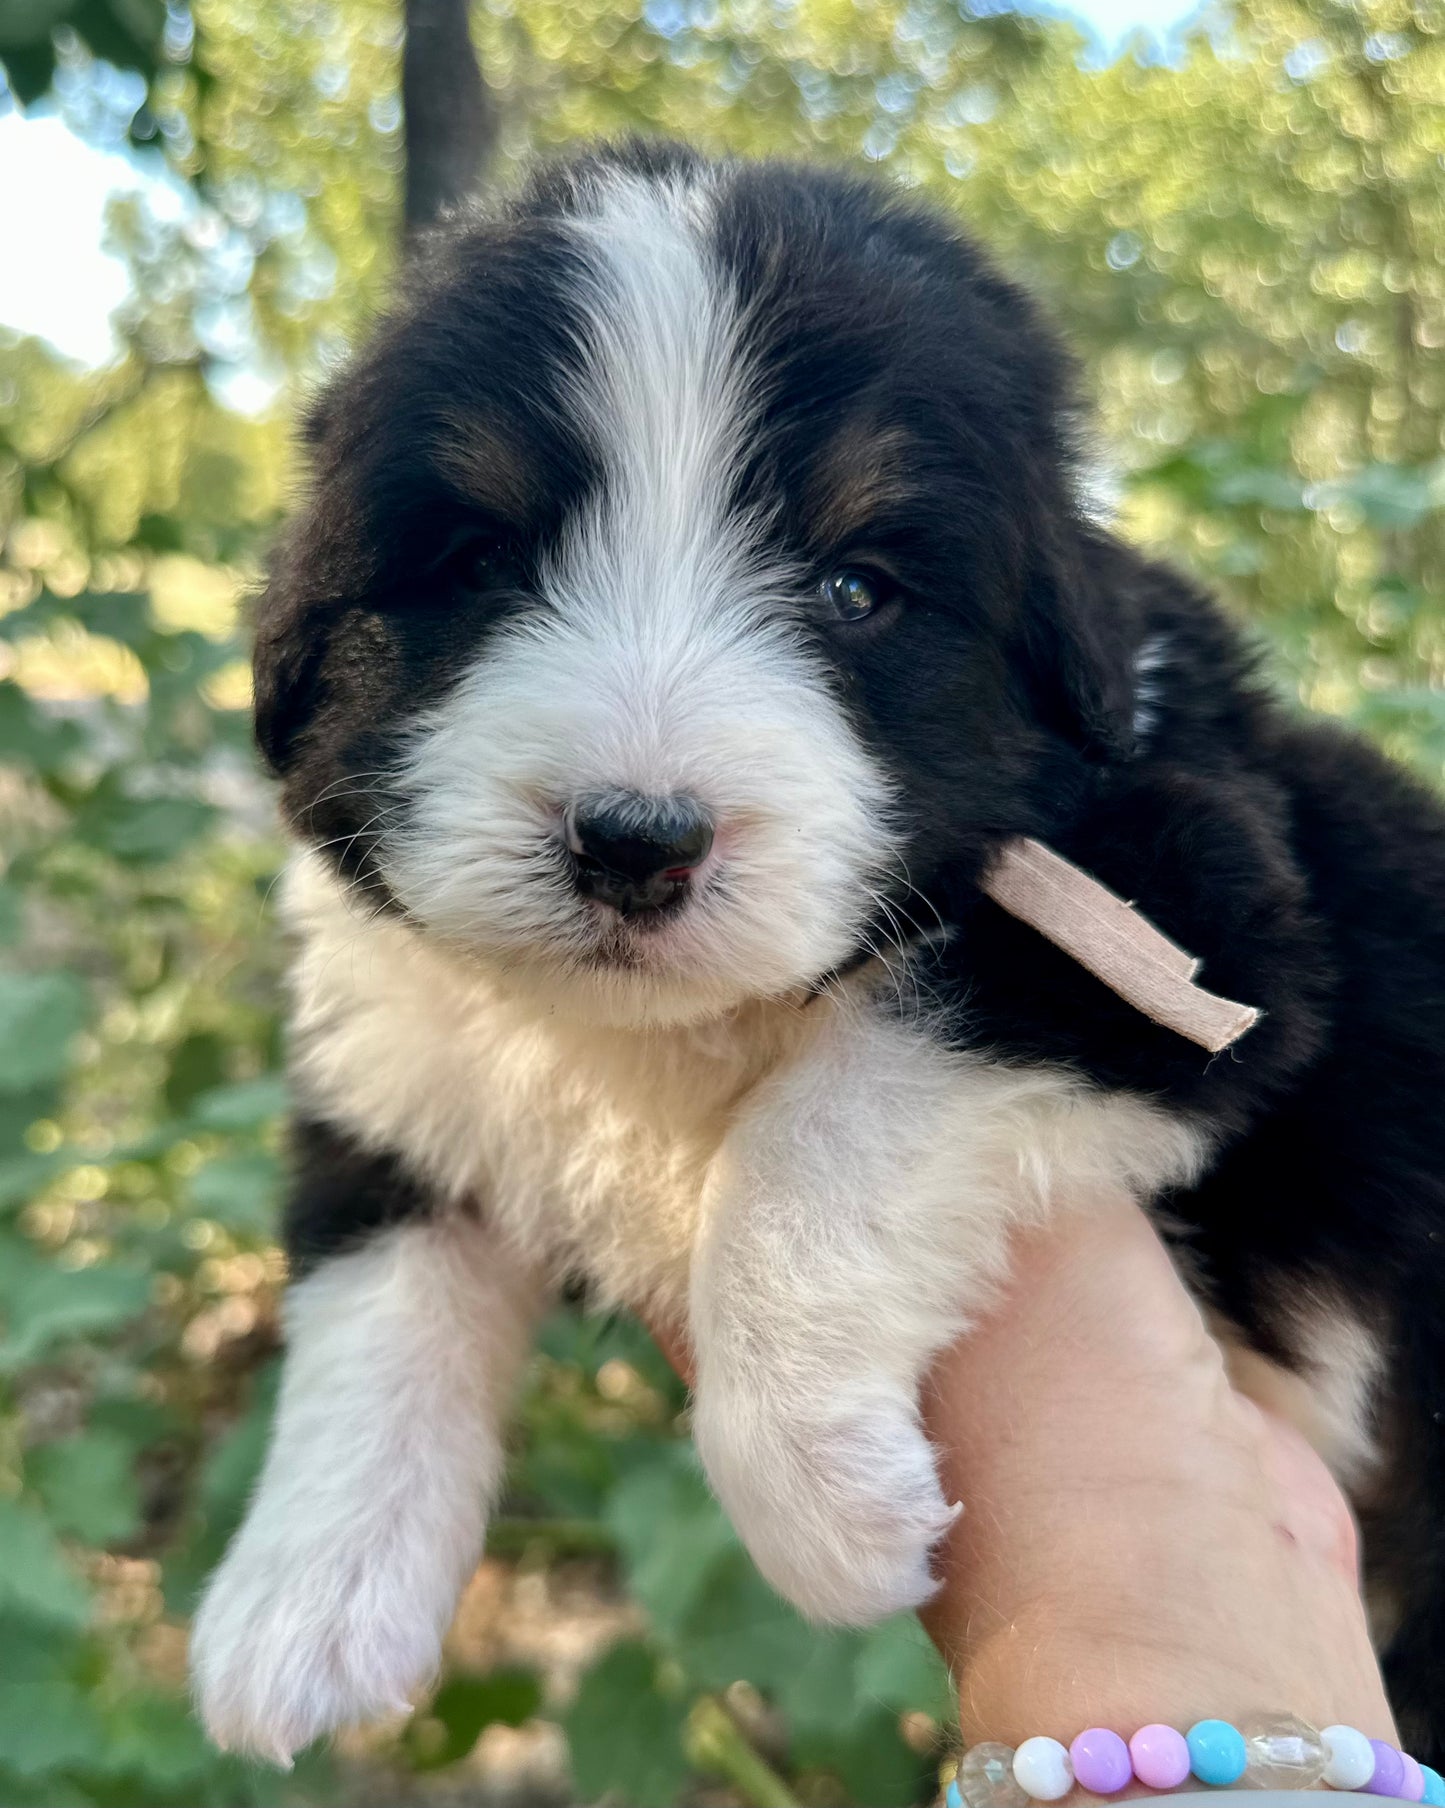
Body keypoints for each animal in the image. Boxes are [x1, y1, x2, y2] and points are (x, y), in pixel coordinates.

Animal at [188, 144, 1445, 1764]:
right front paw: (301, 1605)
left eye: (857, 590)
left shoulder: (1196, 916)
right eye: (475, 561)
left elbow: (824, 1132)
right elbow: (371, 1290)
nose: (636, 841)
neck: (647, 1033)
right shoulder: (397, 1033)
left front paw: (823, 1498)